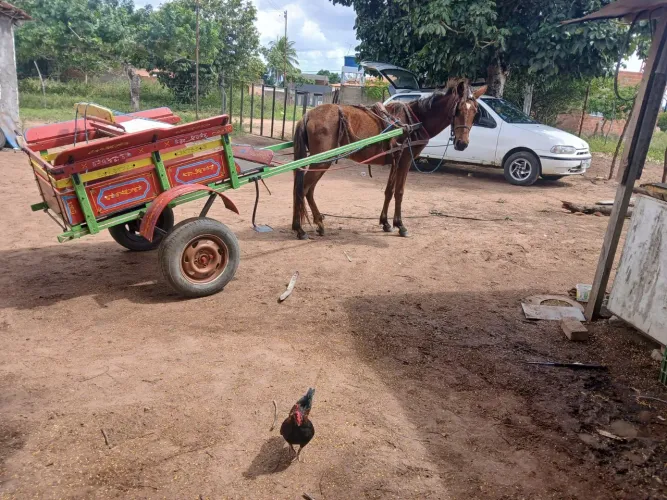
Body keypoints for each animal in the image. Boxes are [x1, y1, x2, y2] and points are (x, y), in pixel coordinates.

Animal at [290, 79, 487, 240]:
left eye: (476, 112)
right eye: (458, 110)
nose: (462, 143)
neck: (414, 121)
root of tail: (308, 115)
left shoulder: (395, 160)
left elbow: (389, 191)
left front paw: (386, 223)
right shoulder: (405, 160)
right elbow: (399, 192)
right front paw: (400, 225)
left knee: (307, 190)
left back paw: (316, 223)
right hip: (322, 161)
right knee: (303, 189)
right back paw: (300, 229)